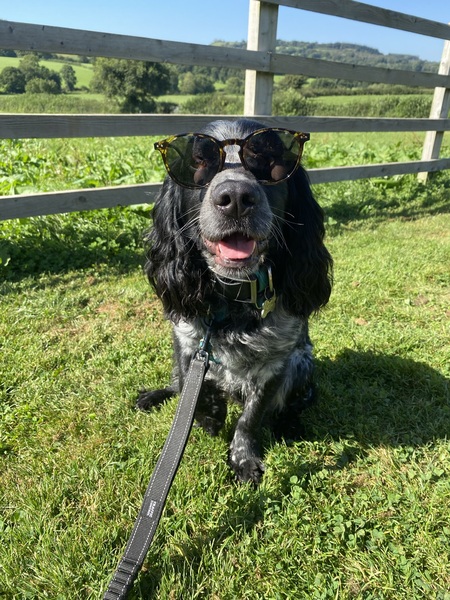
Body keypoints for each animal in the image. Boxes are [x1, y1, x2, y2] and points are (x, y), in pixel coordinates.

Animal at [138, 119, 334, 486]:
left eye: (270, 159)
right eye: (198, 161)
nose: (236, 198)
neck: (232, 299)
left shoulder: (276, 365)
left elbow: (250, 419)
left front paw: (243, 459)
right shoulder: (187, 344)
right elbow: (193, 390)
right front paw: (211, 416)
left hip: (303, 364)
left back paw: (291, 425)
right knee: (176, 385)